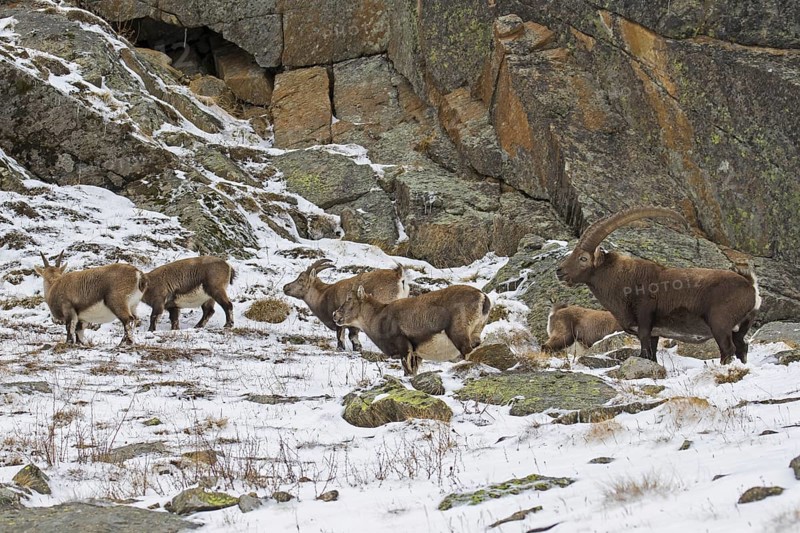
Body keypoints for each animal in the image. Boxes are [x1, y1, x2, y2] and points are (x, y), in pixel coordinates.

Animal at [332, 284, 491, 375]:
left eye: (349, 298)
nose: (335, 315)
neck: (378, 318)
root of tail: (482, 297)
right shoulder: (416, 354)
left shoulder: (404, 346)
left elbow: (407, 371)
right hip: (476, 333)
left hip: (459, 335)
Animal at [555, 207, 761, 364]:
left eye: (583, 258)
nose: (559, 271)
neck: (623, 280)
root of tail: (750, 286)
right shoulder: (655, 333)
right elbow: (651, 356)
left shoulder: (645, 325)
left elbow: (645, 353)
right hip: (739, 328)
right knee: (742, 346)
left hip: (720, 324)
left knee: (728, 349)